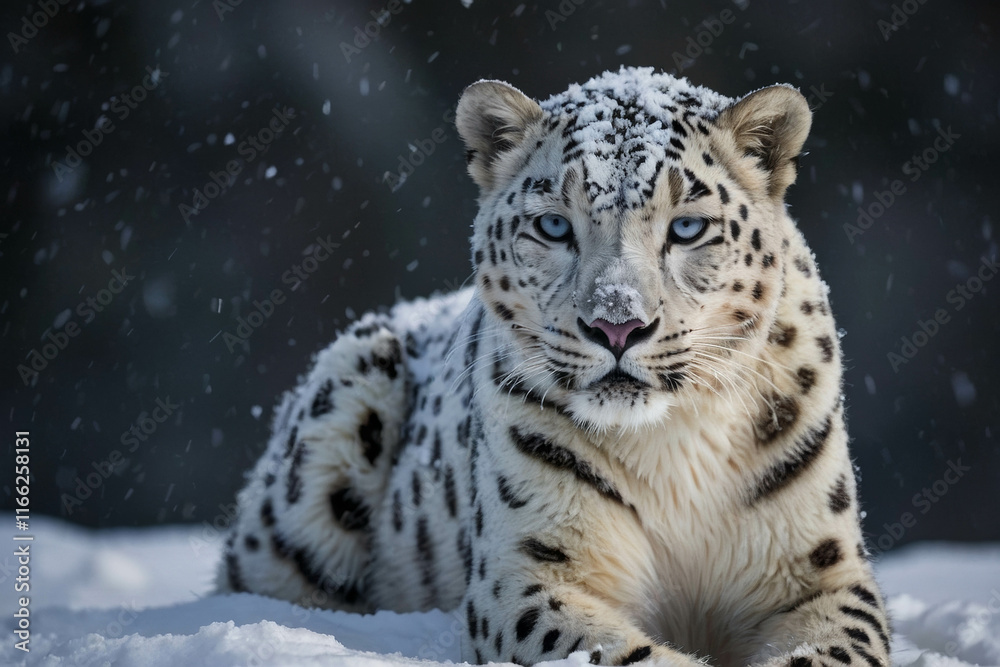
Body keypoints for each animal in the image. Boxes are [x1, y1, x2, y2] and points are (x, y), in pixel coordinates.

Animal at [216, 67, 891, 667]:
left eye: (687, 227)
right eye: (553, 225)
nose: (617, 323)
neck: (673, 447)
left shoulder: (817, 569)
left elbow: (838, 648)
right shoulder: (528, 571)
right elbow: (610, 652)